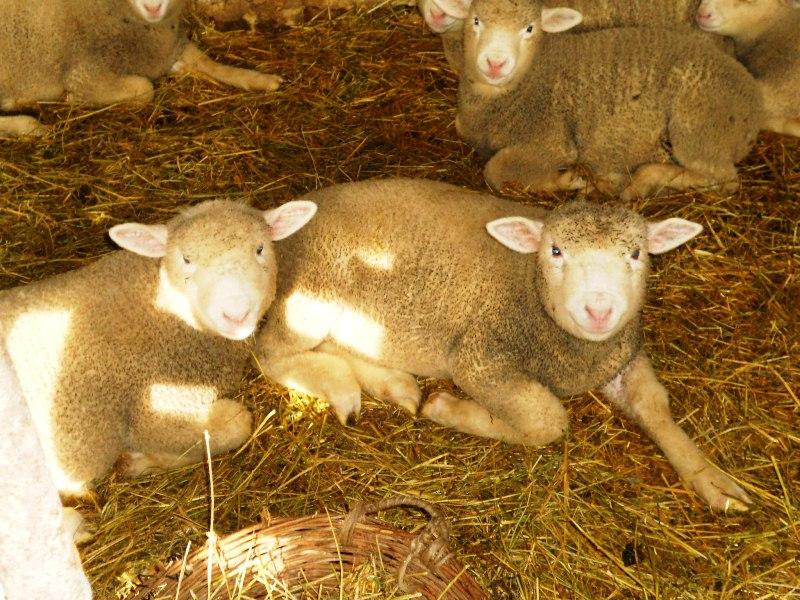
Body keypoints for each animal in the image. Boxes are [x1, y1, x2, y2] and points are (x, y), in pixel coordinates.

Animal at [0, 0, 283, 137]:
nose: (153, 7)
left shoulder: (171, 46)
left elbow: (209, 63)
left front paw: (262, 79)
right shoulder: (86, 73)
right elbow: (145, 89)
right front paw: (72, 100)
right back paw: (27, 125)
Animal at [0, 199, 316, 507]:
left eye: (260, 249)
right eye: (187, 259)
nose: (236, 314)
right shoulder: (153, 411)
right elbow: (237, 423)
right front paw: (141, 461)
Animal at [255, 177, 752, 512]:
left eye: (636, 254)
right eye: (555, 251)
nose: (599, 311)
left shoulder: (621, 356)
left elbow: (654, 404)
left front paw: (711, 478)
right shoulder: (478, 358)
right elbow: (547, 419)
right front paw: (449, 409)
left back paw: (393, 384)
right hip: (310, 300)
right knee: (270, 354)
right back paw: (347, 388)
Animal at [456, 0, 761, 197]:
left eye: (530, 28)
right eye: (475, 20)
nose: (495, 63)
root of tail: (753, 102)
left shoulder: (551, 142)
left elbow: (495, 171)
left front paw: (570, 180)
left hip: (698, 128)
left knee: (724, 180)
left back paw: (640, 182)